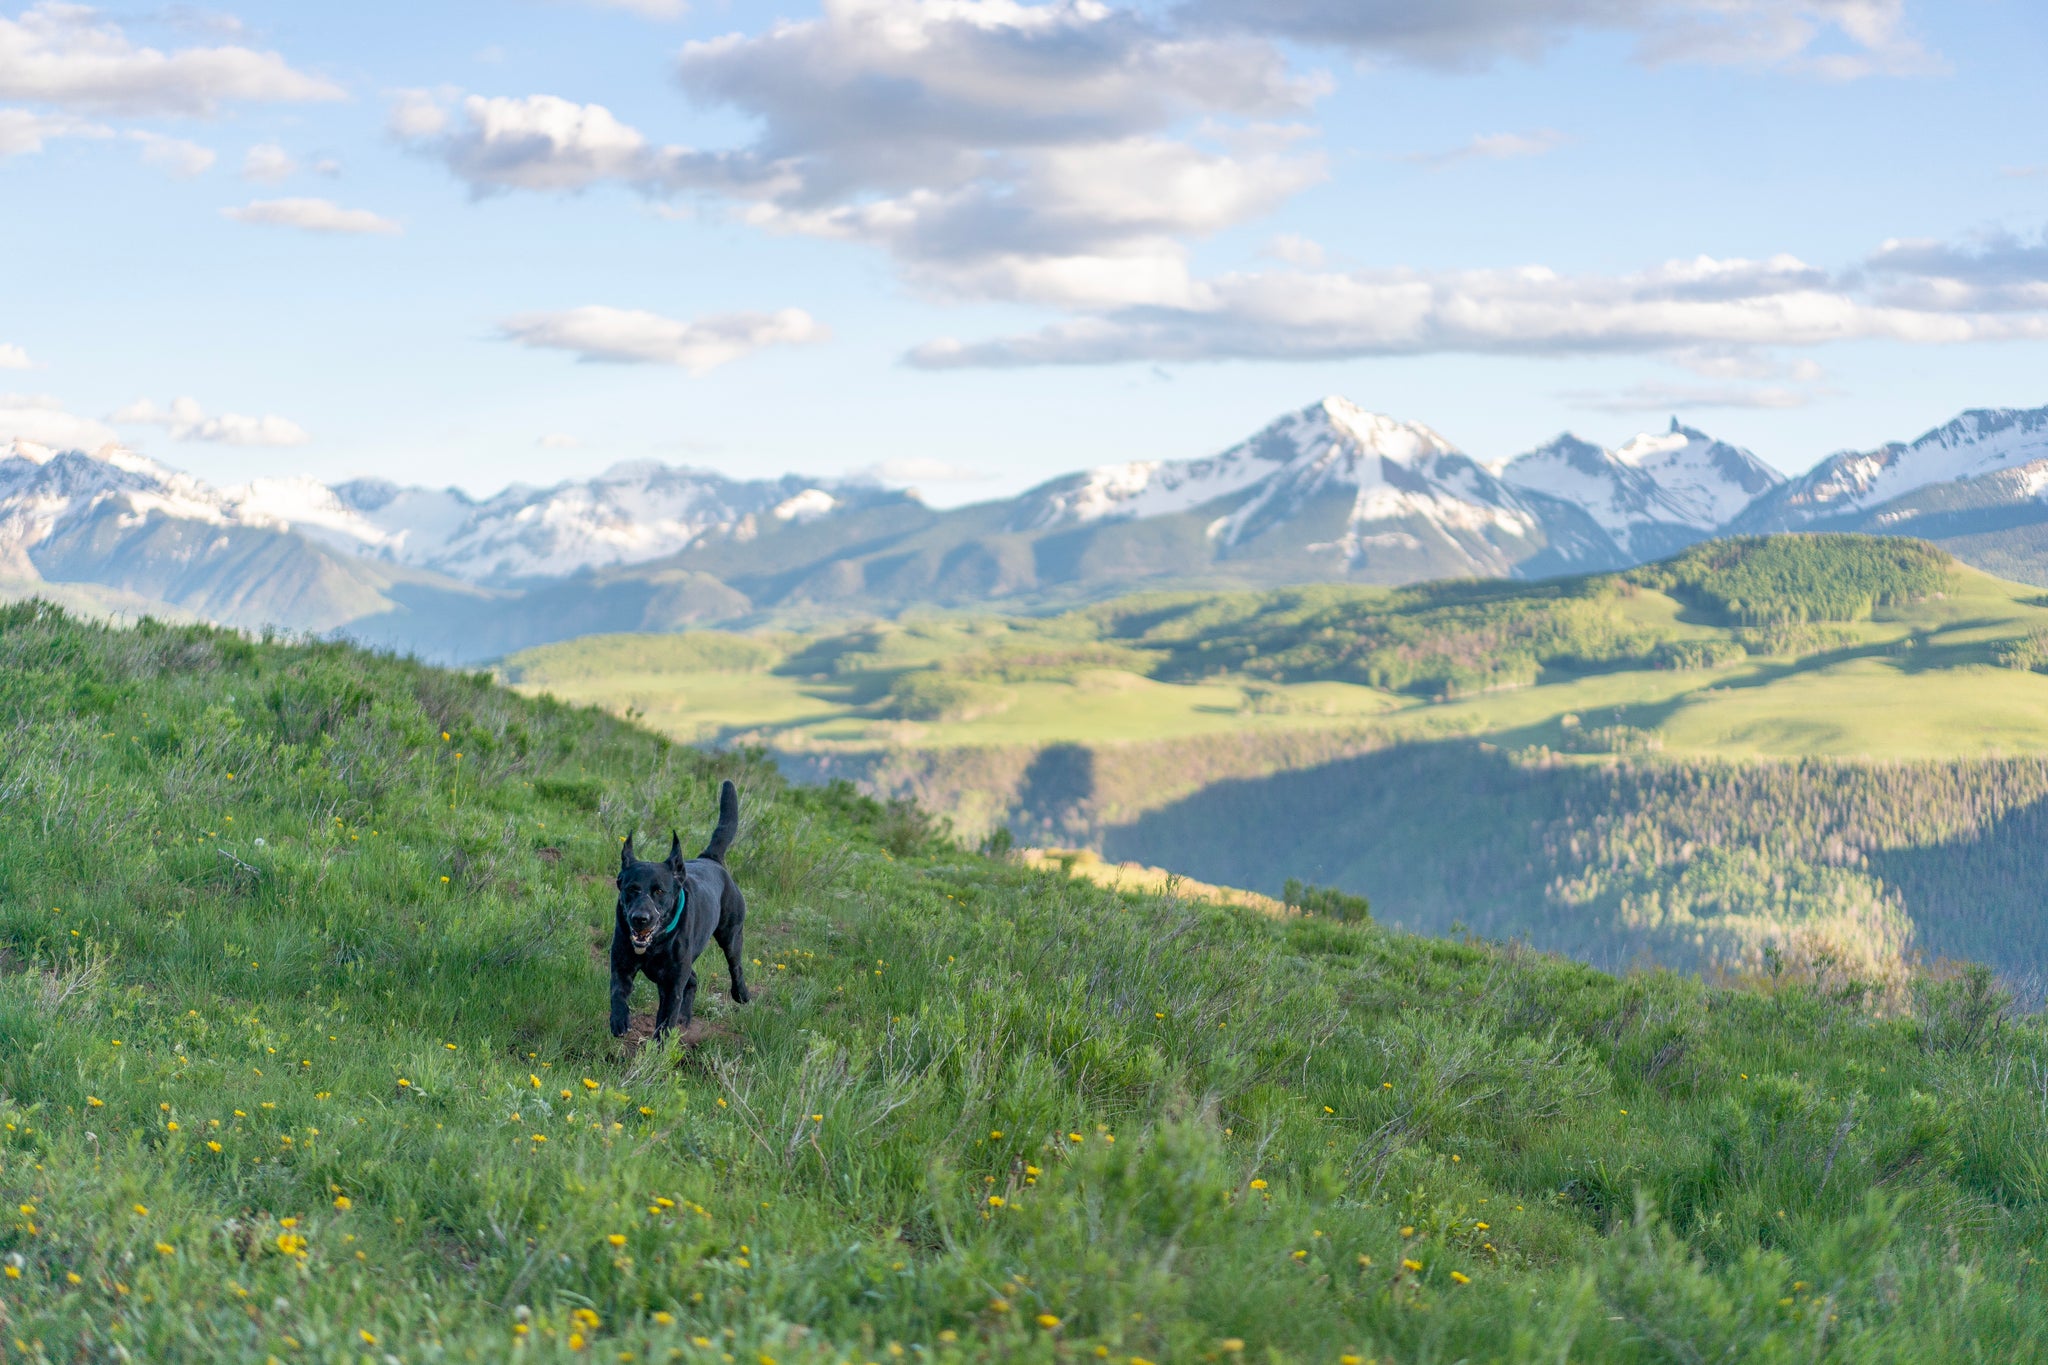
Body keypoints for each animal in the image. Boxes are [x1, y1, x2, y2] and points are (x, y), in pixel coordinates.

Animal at [606, 777, 753, 1035]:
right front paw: (619, 1020)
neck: (654, 945)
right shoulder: (622, 964)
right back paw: (684, 1017)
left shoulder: (671, 984)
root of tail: (710, 858)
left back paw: (741, 994)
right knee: (693, 979)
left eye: (659, 891)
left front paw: (660, 1043)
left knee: (735, 966)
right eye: (631, 889)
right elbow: (618, 992)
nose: (640, 918)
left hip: (731, 935)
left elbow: (665, 1019)